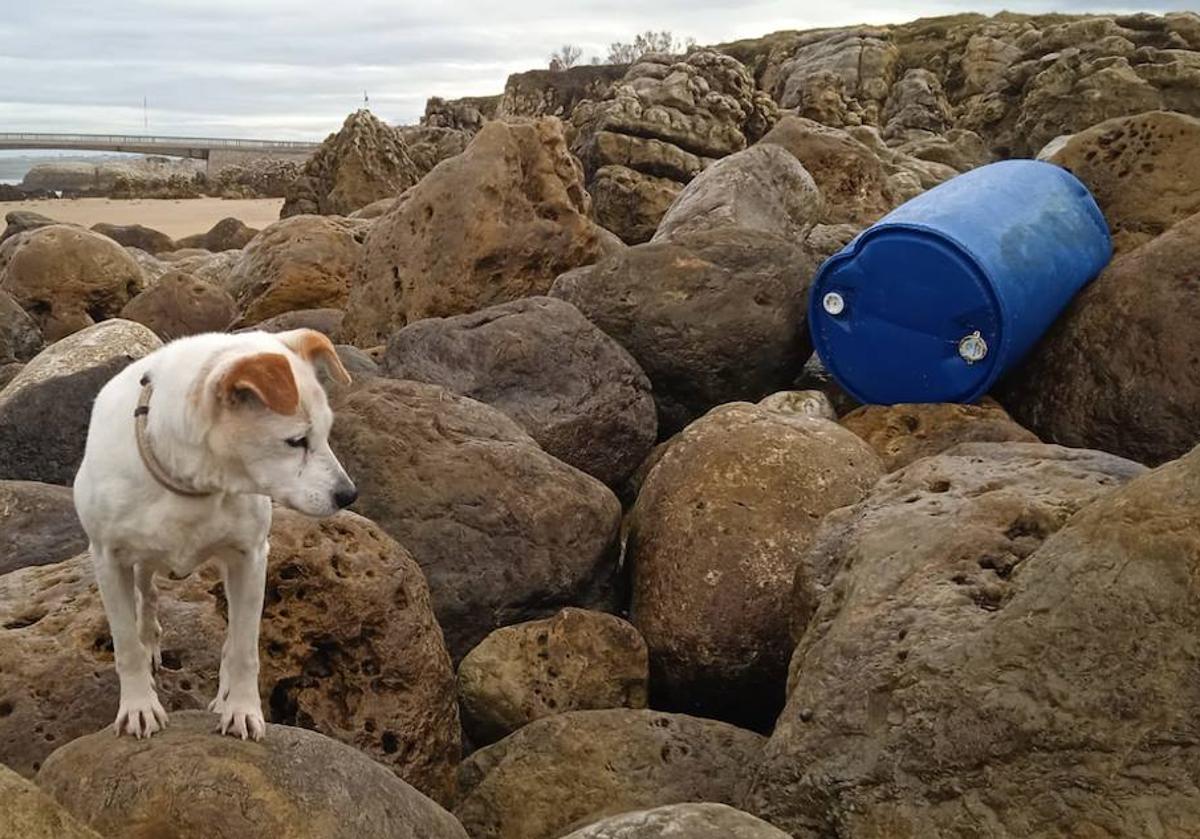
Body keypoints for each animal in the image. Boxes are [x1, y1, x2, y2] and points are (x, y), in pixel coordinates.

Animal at [73, 328, 355, 739]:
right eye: (296, 441)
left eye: (327, 432)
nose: (349, 494)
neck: (191, 484)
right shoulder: (108, 560)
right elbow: (126, 644)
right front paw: (139, 705)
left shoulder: (250, 557)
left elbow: (243, 648)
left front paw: (240, 708)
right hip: (140, 562)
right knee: (147, 594)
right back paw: (151, 640)